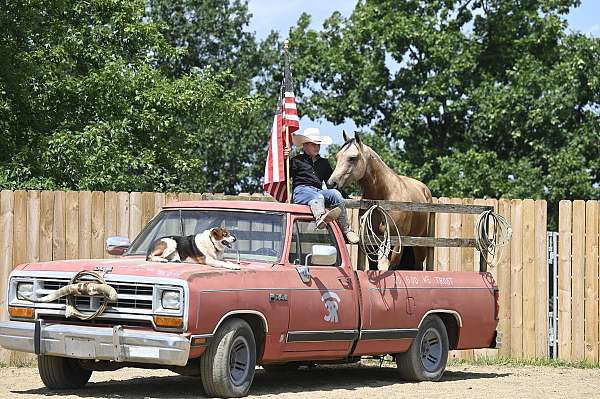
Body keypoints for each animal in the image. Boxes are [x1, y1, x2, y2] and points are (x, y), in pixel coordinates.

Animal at [328, 133, 432, 270]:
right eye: (337, 156)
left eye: (352, 158)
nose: (331, 183)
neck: (385, 197)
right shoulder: (371, 242)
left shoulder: (396, 243)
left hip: (419, 244)